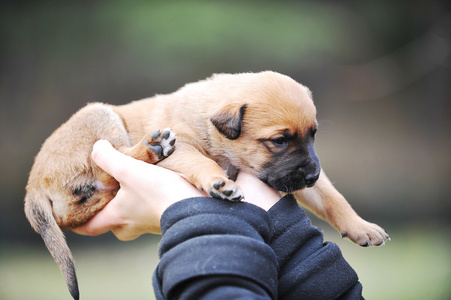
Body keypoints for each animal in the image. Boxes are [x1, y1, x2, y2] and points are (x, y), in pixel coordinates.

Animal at [24, 71, 390, 298]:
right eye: (279, 140)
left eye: (313, 135)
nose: (312, 174)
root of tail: (32, 184)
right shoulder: (184, 146)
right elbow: (203, 162)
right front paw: (218, 181)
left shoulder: (297, 175)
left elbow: (332, 197)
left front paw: (362, 227)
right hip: (99, 117)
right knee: (105, 170)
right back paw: (151, 147)